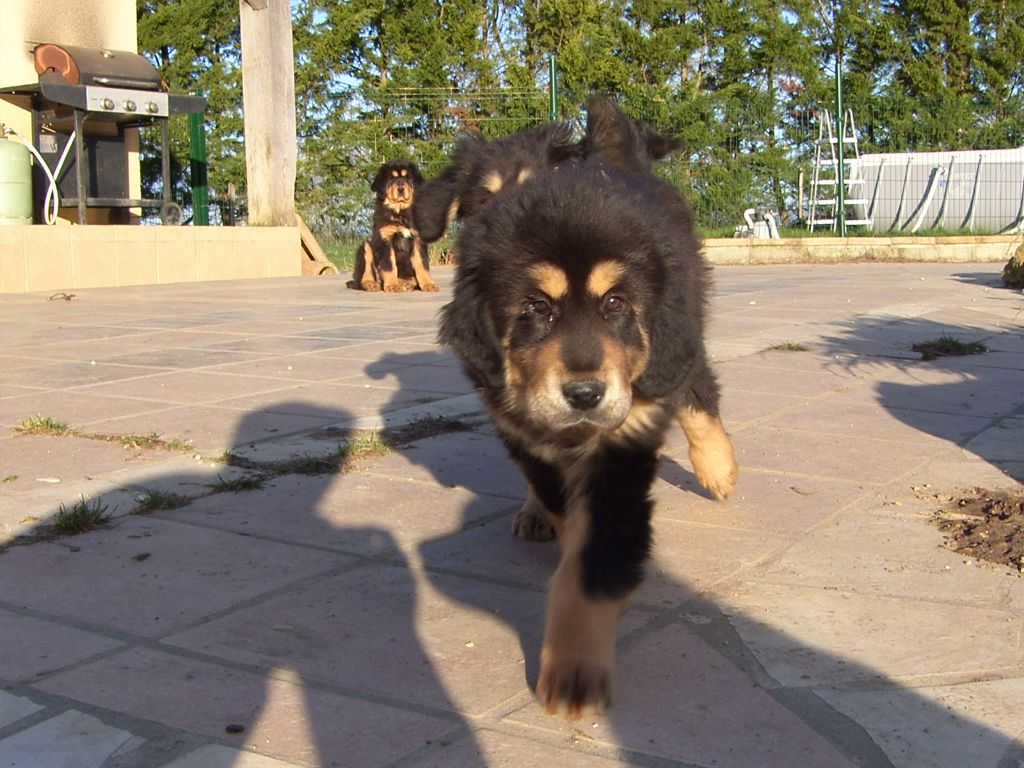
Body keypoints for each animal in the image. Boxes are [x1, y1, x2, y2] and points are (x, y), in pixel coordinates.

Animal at [350, 160, 438, 292]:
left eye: (408, 178)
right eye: (391, 179)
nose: (401, 189)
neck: (400, 212)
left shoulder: (417, 240)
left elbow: (422, 265)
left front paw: (428, 284)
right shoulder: (386, 239)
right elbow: (389, 265)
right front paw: (392, 285)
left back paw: (405, 283)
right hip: (366, 246)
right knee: (363, 275)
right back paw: (371, 284)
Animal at [413, 97, 737, 720]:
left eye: (616, 305)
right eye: (535, 308)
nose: (585, 394)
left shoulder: (624, 438)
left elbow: (592, 560)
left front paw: (574, 669)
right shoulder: (522, 430)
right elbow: (562, 507)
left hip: (681, 332)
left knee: (696, 389)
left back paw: (719, 467)